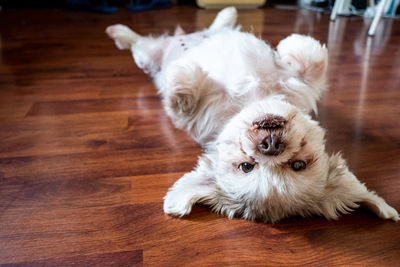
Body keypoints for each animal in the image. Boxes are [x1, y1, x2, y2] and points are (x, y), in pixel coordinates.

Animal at [105, 7, 396, 223]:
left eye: (298, 165)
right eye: (246, 166)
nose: (270, 145)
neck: (255, 99)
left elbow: (180, 92)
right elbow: (310, 57)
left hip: (149, 55)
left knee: (144, 43)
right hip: (164, 49)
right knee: (170, 37)